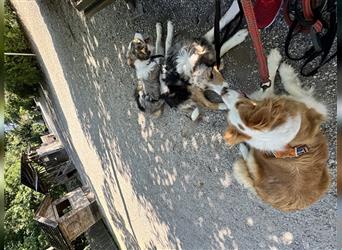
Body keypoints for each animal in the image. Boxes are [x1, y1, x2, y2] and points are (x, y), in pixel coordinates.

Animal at [220, 48, 330, 211]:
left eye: (239, 105)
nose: (222, 91)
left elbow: (268, 86)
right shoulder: (315, 107)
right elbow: (281, 85)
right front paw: (280, 65)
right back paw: (244, 149)